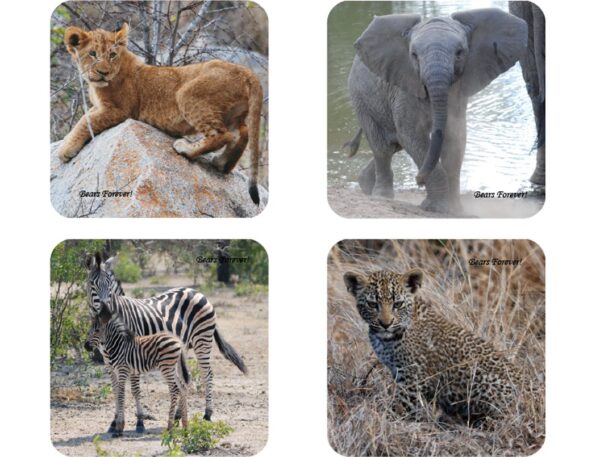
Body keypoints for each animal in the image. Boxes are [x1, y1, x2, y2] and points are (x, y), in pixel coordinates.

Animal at [84, 251, 246, 422]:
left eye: (109, 285)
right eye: (92, 284)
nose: (105, 313)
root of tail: (197, 292)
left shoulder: (132, 353)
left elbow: (134, 388)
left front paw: (140, 417)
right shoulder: (108, 360)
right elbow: (116, 388)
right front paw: (116, 418)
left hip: (202, 339)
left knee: (206, 373)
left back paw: (207, 413)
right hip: (181, 348)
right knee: (183, 378)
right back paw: (179, 413)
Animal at [84, 302, 190, 436]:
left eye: (97, 330)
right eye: (89, 330)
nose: (86, 346)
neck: (118, 346)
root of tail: (178, 342)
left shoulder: (123, 370)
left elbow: (121, 395)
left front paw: (119, 428)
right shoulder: (115, 371)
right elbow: (117, 393)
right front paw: (118, 425)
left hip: (166, 367)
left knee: (174, 390)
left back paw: (170, 427)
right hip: (173, 368)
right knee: (182, 387)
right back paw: (185, 426)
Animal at [346, 8, 524, 212]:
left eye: (459, 53)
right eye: (414, 55)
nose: (418, 180)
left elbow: (455, 139)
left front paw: (455, 210)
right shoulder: (404, 87)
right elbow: (411, 135)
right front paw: (436, 207)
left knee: (393, 145)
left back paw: (365, 185)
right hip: (360, 98)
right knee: (382, 147)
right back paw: (382, 197)